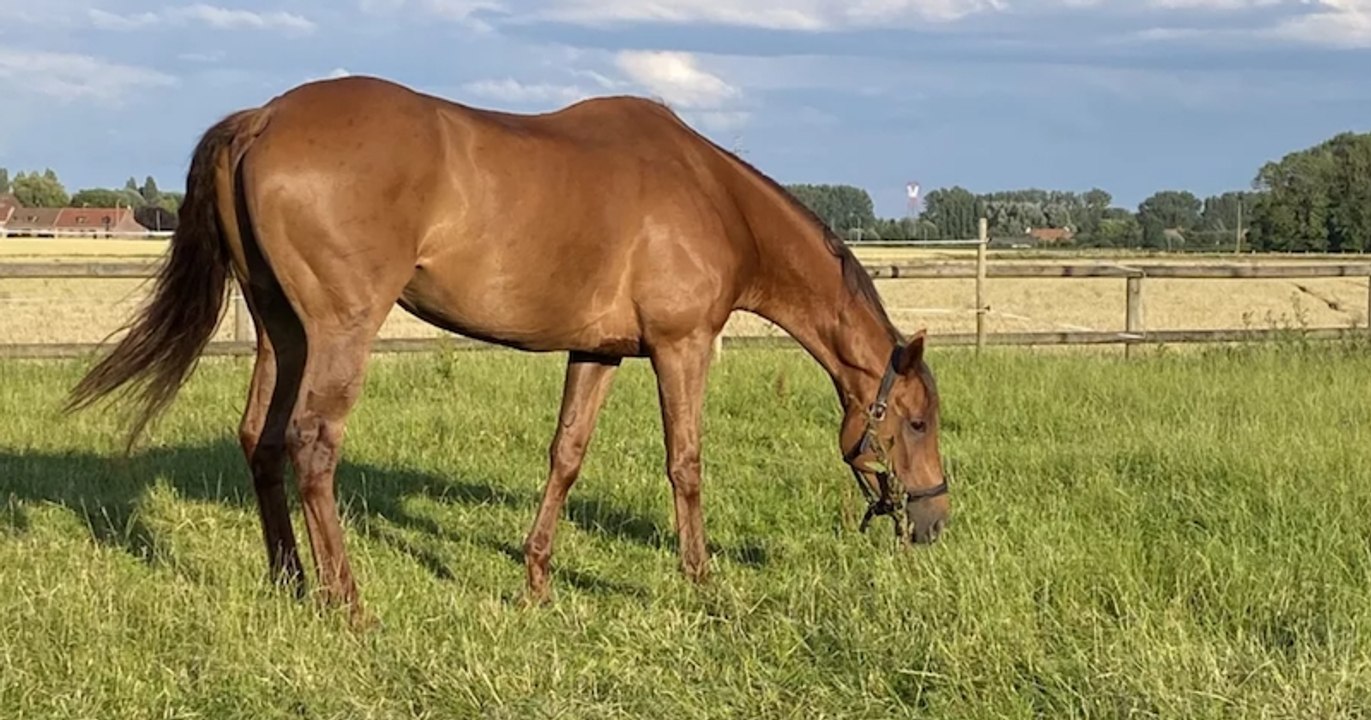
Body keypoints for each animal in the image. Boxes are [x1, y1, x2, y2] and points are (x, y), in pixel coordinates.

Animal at [66, 75, 949, 619]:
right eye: (914, 422)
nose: (933, 522)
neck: (711, 197)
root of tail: (262, 118)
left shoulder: (599, 352)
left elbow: (566, 456)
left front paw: (536, 582)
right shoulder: (681, 347)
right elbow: (686, 464)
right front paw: (700, 583)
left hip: (281, 330)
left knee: (262, 439)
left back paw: (290, 582)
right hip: (339, 330)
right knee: (313, 446)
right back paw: (348, 603)